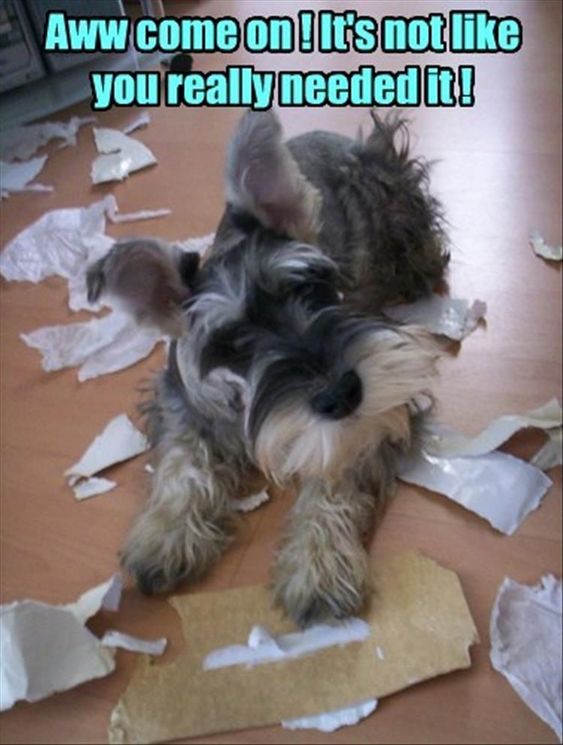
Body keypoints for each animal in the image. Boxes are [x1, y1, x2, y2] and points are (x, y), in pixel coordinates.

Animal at [88, 107, 450, 624]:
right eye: (231, 342)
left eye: (310, 285)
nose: (341, 393)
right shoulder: (176, 397)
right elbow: (182, 460)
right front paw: (165, 534)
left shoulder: (381, 410)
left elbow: (333, 474)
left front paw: (319, 565)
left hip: (397, 203)